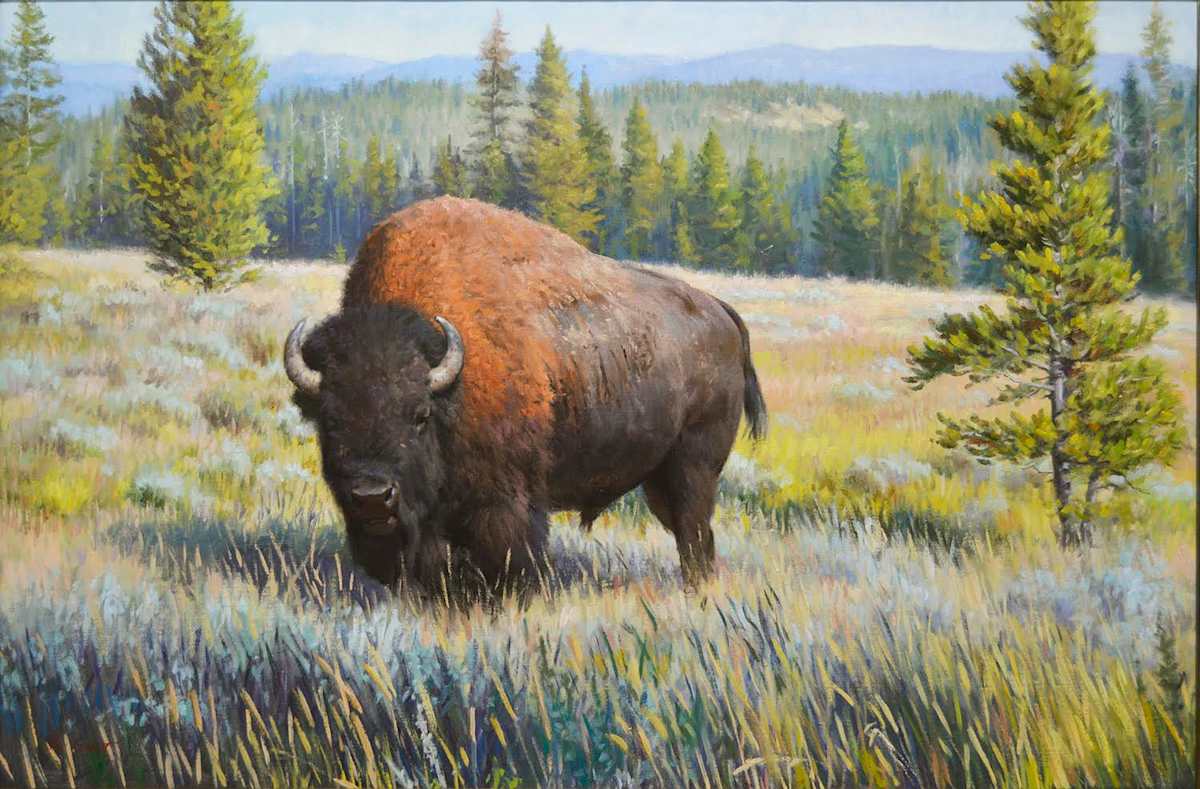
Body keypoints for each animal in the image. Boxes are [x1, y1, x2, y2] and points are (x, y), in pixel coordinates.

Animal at [285, 197, 766, 595]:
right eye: (329, 419)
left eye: (419, 415)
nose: (371, 496)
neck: (452, 386)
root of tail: (720, 311)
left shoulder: (504, 504)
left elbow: (507, 562)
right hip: (658, 475)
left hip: (693, 466)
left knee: (693, 531)